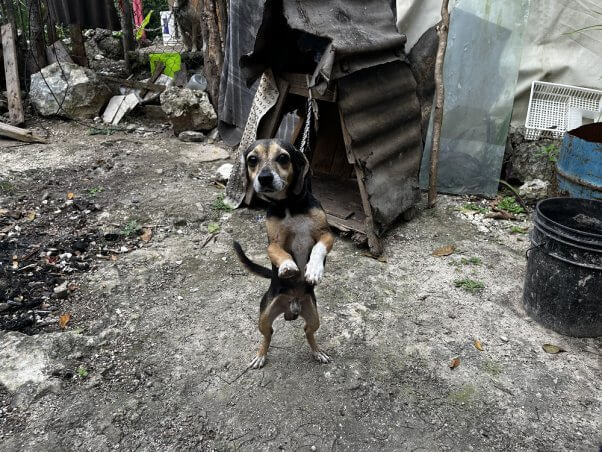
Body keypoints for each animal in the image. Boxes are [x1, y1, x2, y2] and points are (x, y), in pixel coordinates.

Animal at [232, 139, 332, 370]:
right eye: (252, 160)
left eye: (283, 158)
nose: (264, 178)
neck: (289, 206)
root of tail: (293, 305)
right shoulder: (273, 243)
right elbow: (279, 253)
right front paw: (287, 266)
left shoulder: (326, 235)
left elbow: (317, 248)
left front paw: (314, 270)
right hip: (264, 317)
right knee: (268, 335)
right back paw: (260, 355)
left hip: (314, 318)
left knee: (308, 333)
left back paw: (318, 352)